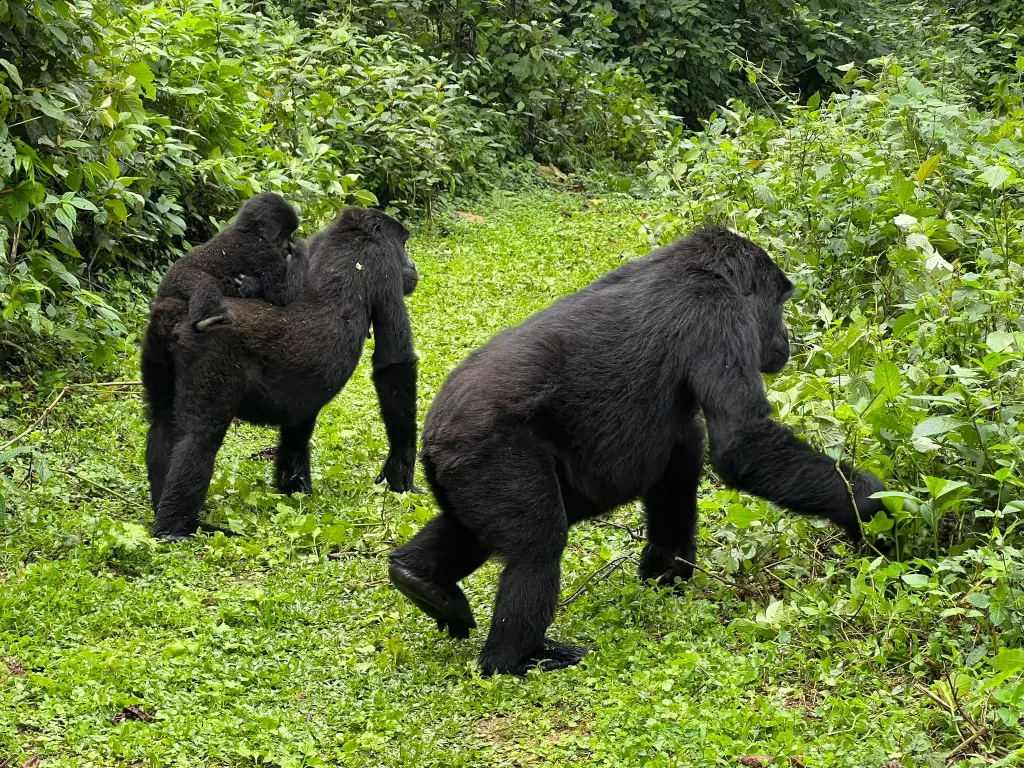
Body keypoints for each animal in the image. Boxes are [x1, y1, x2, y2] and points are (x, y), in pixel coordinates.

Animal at [155, 192, 307, 331]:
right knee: (205, 283)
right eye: (284, 234)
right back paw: (206, 318)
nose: (286, 247)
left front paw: (251, 285)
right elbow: (280, 293)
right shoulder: (265, 250)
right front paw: (299, 247)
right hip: (176, 279)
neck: (250, 231)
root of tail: (160, 291)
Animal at [387, 225, 884, 675]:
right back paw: (515, 659)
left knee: (472, 525)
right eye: (778, 306)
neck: (701, 268)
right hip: (487, 450)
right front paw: (873, 507)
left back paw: (417, 578)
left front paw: (666, 568)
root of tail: (432, 436)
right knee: (537, 545)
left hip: (463, 467)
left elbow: (681, 459)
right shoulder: (718, 315)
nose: (786, 339)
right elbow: (743, 445)